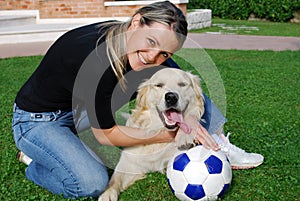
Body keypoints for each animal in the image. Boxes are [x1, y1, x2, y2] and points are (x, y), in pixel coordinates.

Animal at [98, 68, 204, 200]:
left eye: (182, 84)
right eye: (158, 85)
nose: (171, 97)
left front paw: (185, 136)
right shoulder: (129, 161)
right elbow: (115, 178)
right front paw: (106, 194)